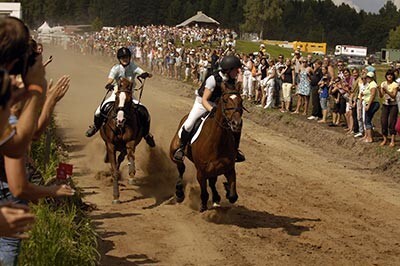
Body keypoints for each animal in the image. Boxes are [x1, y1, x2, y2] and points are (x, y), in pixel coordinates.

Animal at [170, 82, 244, 211]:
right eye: (225, 100)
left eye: (241, 101)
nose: (236, 124)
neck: (217, 143)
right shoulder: (201, 172)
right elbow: (204, 192)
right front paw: (203, 205)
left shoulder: (229, 169)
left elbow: (232, 196)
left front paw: (226, 190)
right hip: (173, 152)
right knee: (181, 167)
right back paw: (179, 193)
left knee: (212, 182)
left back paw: (216, 198)